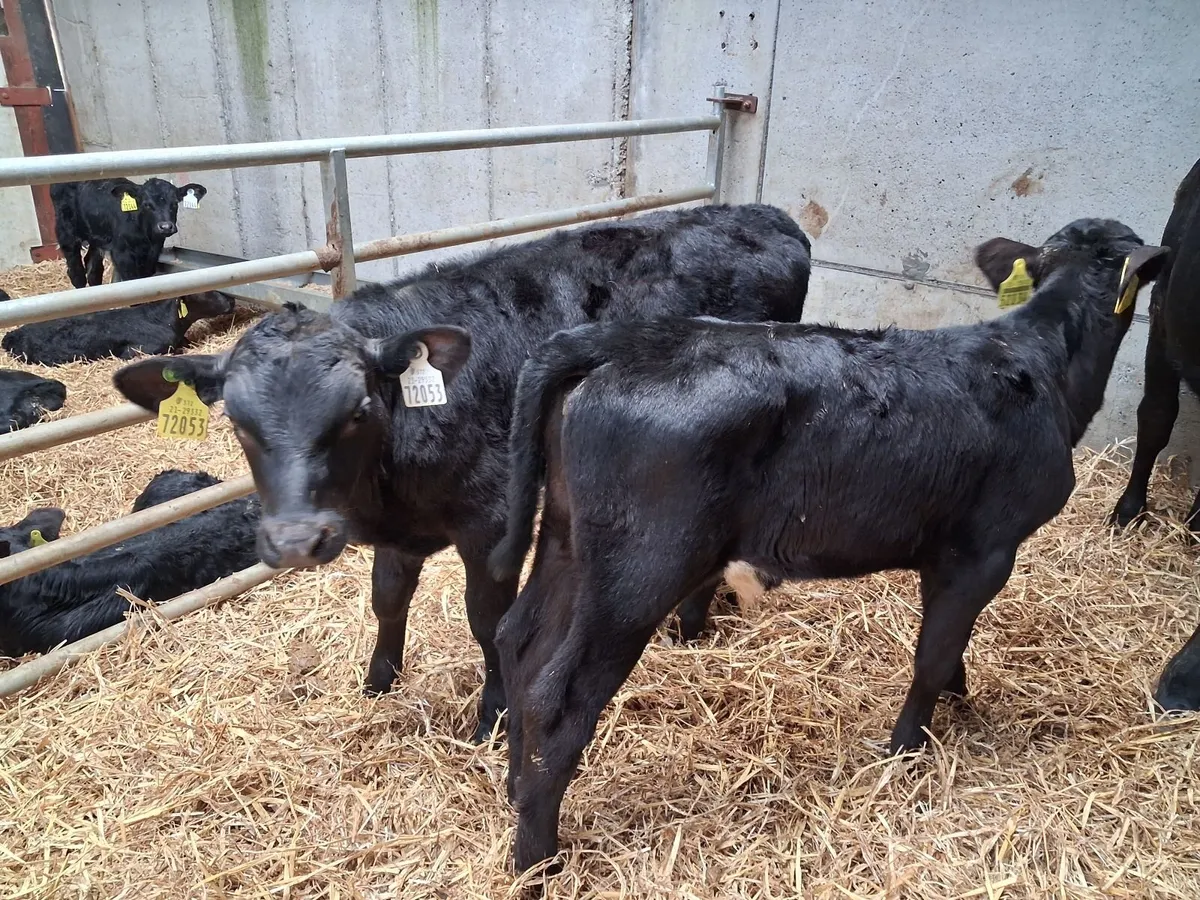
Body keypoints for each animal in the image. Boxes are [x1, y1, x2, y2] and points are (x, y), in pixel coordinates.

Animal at [50, 177, 207, 288]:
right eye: (146, 204)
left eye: (174, 204)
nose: (166, 227)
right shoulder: (122, 254)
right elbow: (132, 281)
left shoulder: (152, 253)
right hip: (66, 234)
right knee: (76, 274)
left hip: (96, 237)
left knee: (93, 270)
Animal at [110, 203, 813, 743]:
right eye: (236, 422)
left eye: (358, 409)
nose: (297, 541)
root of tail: (763, 214)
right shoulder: (398, 532)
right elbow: (388, 598)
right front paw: (378, 684)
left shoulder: (492, 523)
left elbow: (487, 619)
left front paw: (492, 717)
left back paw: (690, 629)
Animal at [488, 218, 1168, 871]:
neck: (1040, 361)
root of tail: (624, 339)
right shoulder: (983, 548)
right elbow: (932, 655)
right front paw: (905, 753)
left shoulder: (945, 551)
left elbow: (951, 643)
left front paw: (958, 699)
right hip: (642, 566)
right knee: (558, 699)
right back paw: (537, 859)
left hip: (568, 537)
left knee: (520, 641)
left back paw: (513, 789)